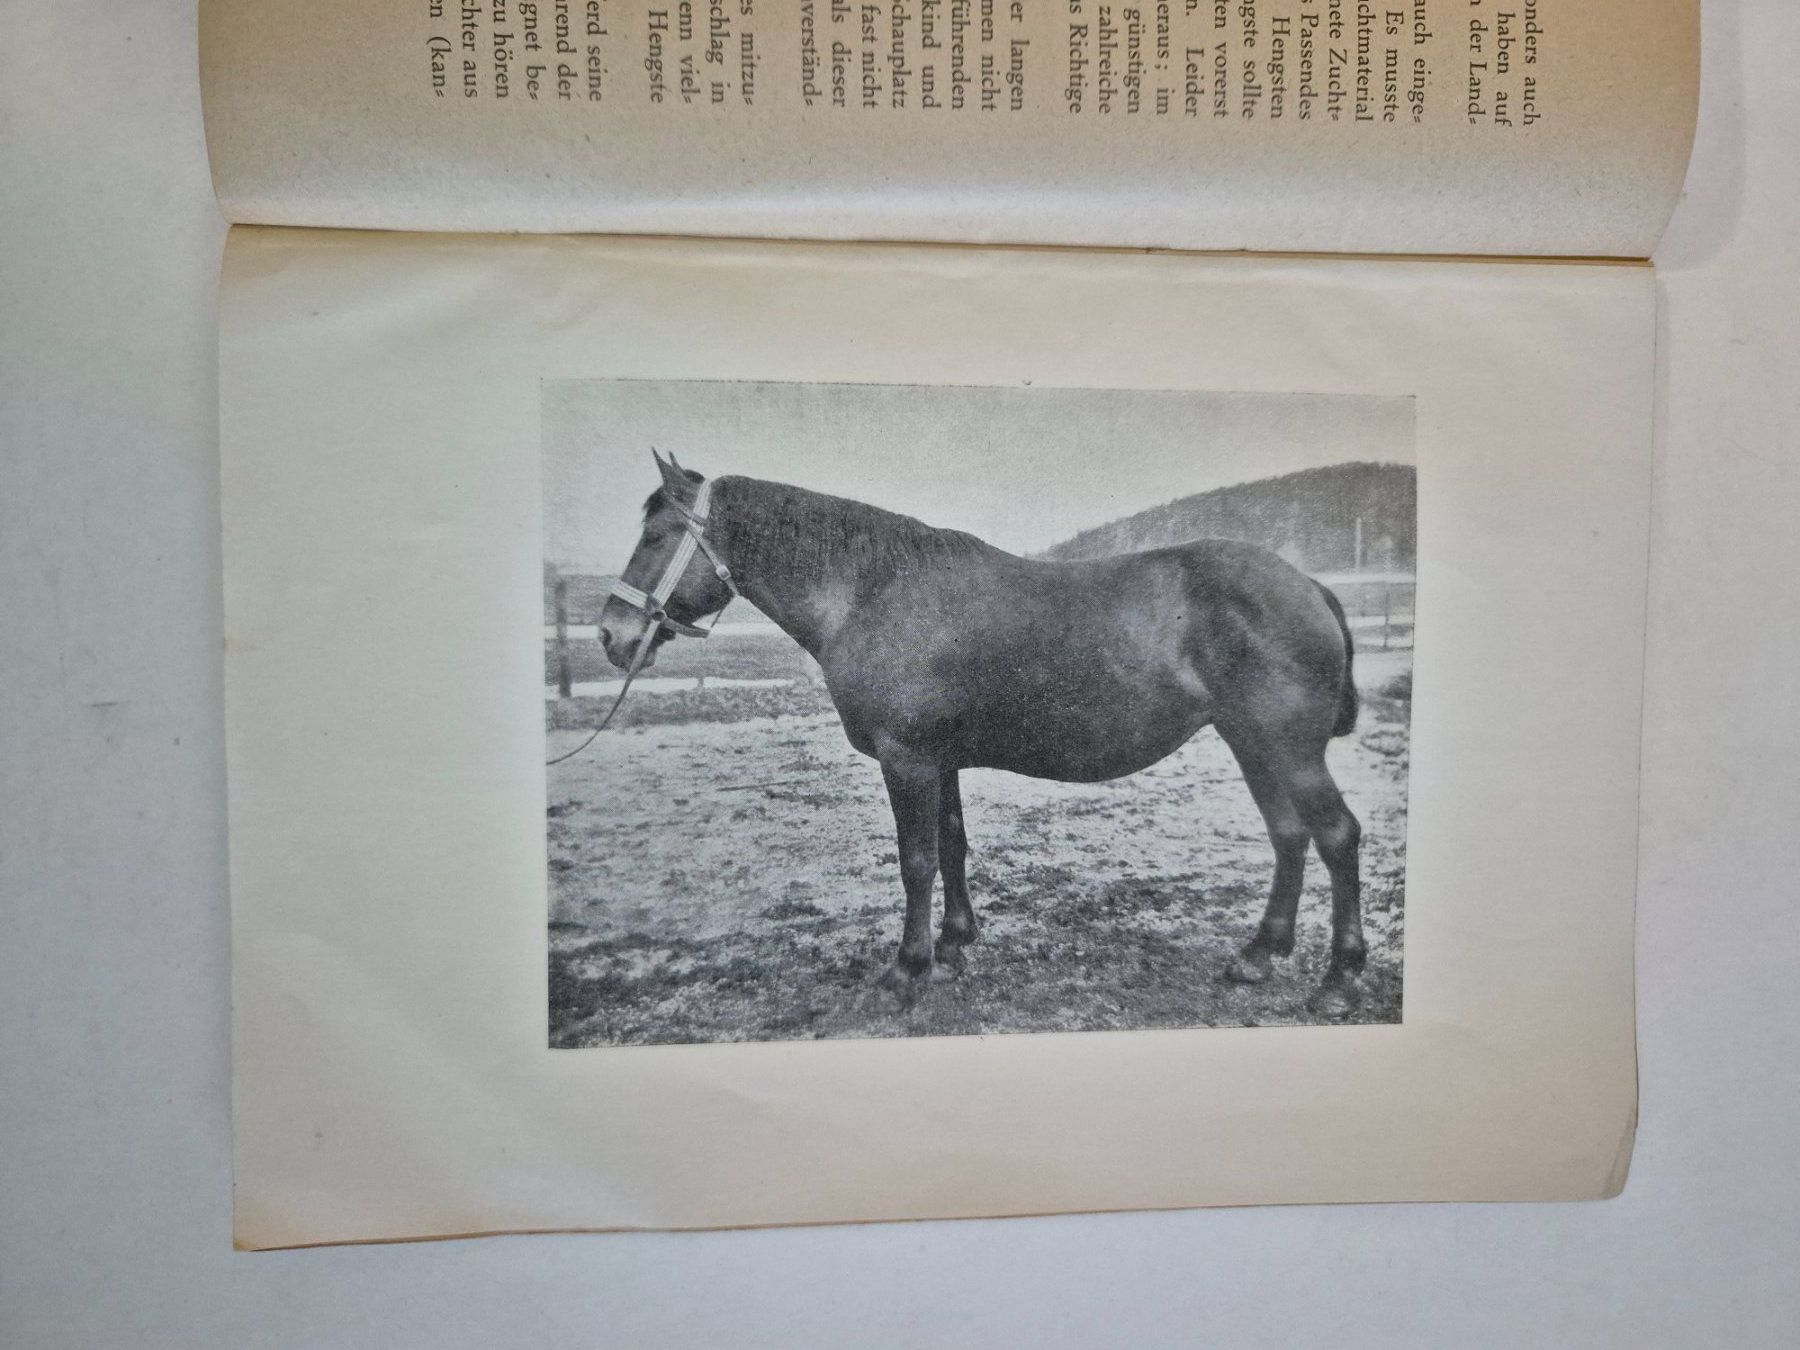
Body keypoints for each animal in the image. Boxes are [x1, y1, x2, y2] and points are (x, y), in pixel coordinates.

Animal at [594, 451, 1367, 1017]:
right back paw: (1258, 955)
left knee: (1336, 837)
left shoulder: (906, 761)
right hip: (1251, 743)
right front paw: (955, 942)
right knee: (1288, 836)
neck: (872, 592)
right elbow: (953, 847)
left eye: (656, 536)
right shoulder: (941, 762)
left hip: (1288, 749)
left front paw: (907, 968)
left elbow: (916, 861)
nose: (611, 634)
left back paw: (1338, 980)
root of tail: (1308, 584)